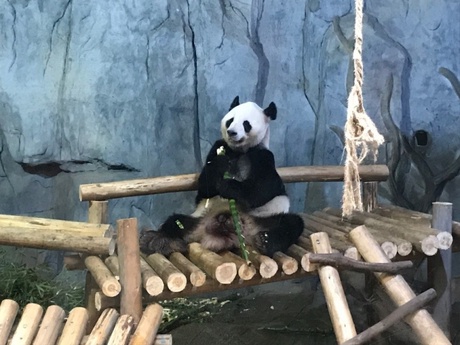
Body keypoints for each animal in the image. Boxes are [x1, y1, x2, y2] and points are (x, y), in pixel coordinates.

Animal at [140, 95, 306, 256]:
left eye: (246, 124)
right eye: (230, 120)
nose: (232, 132)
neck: (238, 151)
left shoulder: (262, 155)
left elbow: (265, 188)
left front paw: (229, 187)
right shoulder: (217, 147)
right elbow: (204, 186)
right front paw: (221, 163)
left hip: (265, 219)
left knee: (291, 224)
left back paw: (266, 241)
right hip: (197, 217)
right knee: (175, 221)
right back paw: (160, 241)